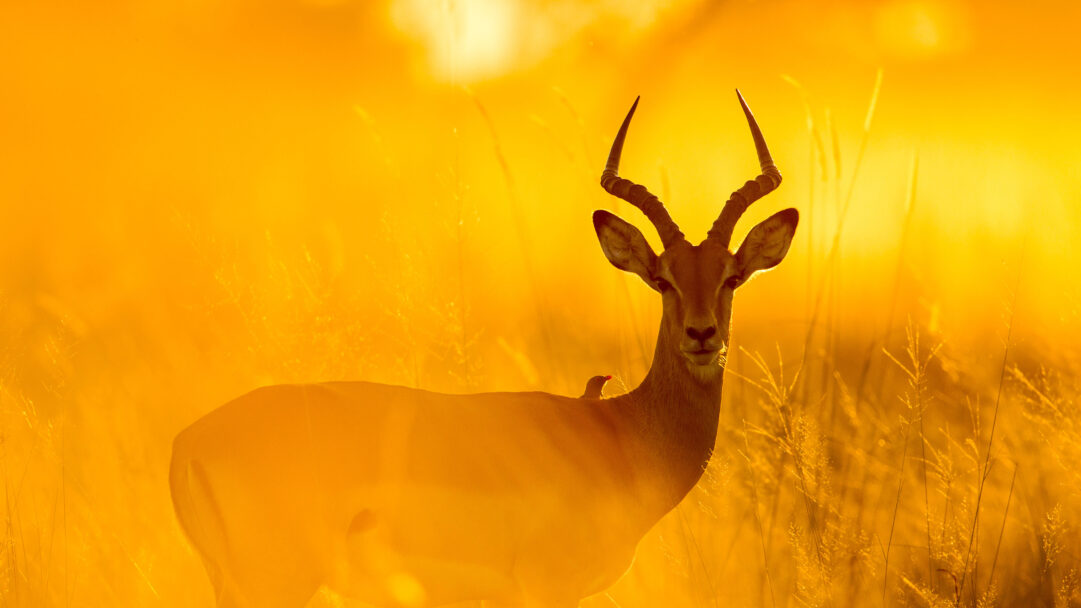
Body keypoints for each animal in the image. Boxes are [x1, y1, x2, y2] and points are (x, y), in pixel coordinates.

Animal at [169, 91, 798, 608]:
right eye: (664, 280)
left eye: (731, 276)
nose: (701, 335)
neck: (621, 435)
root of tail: (188, 444)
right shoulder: (548, 588)